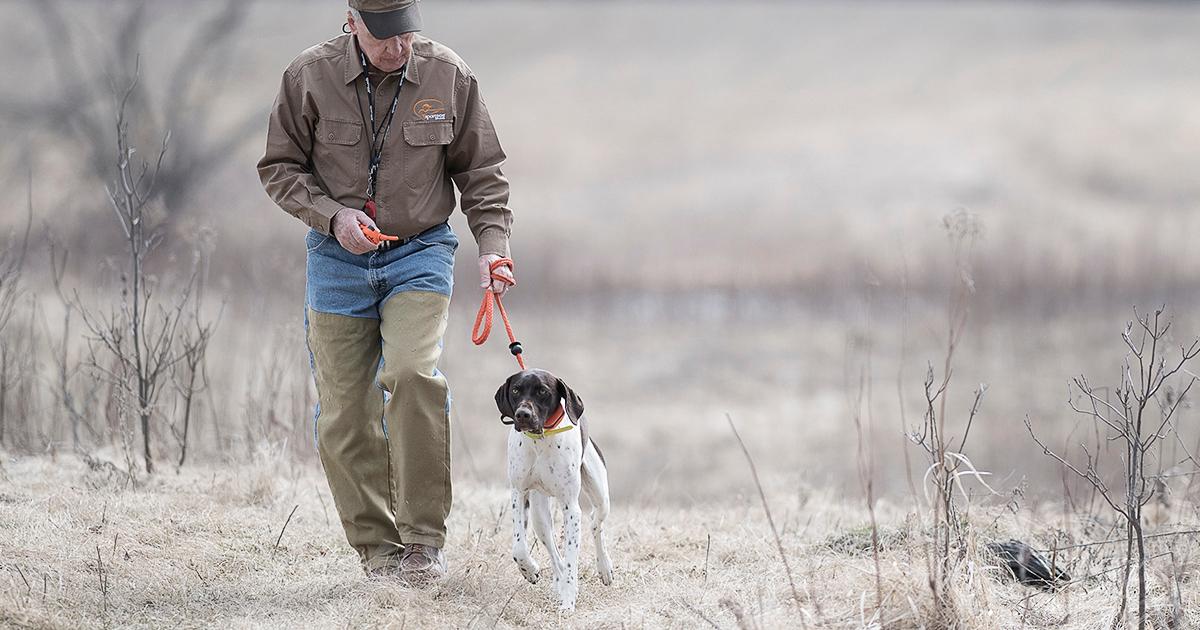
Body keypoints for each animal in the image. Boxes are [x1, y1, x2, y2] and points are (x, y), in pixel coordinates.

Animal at [494, 369, 614, 609]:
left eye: (543, 391)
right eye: (515, 390)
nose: (522, 415)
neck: (540, 440)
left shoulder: (571, 508)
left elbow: (571, 560)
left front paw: (568, 603)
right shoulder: (518, 493)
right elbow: (519, 548)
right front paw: (529, 570)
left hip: (600, 495)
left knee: (595, 521)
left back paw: (604, 567)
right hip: (539, 515)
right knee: (554, 553)